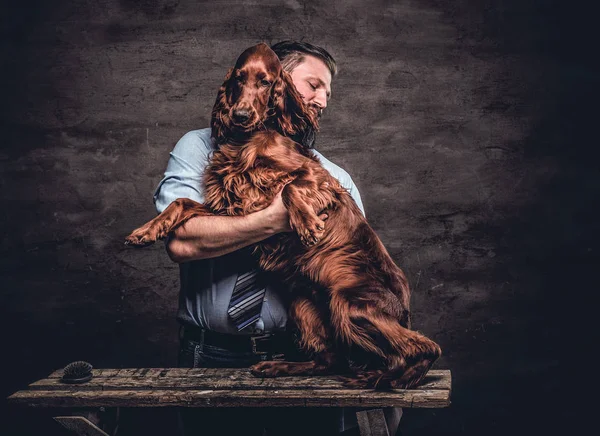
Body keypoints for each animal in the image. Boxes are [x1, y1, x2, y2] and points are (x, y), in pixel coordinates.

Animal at [125, 43, 440, 388]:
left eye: (265, 81)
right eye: (238, 79)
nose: (240, 115)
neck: (246, 141)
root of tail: (404, 309)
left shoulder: (319, 180)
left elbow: (290, 188)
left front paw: (307, 223)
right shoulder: (229, 203)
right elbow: (179, 202)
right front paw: (146, 231)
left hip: (351, 306)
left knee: (425, 347)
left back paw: (388, 377)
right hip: (305, 304)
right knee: (329, 359)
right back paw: (281, 366)